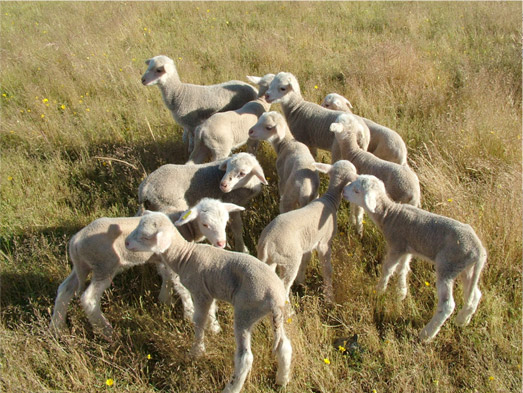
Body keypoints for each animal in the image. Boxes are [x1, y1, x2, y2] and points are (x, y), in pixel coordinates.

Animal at [50, 198, 245, 338]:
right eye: (205, 224)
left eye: (226, 221)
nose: (221, 243)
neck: (185, 227)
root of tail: (75, 241)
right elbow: (179, 284)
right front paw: (189, 313)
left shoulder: (162, 258)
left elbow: (166, 278)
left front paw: (165, 299)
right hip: (103, 265)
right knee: (88, 298)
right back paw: (107, 332)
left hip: (82, 266)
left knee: (64, 289)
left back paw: (57, 329)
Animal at [125, 211, 292, 392]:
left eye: (145, 236)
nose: (126, 243)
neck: (185, 256)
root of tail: (275, 298)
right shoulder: (210, 292)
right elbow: (211, 311)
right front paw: (214, 328)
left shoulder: (200, 292)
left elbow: (199, 321)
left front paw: (196, 351)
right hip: (271, 314)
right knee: (284, 346)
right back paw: (282, 380)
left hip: (246, 310)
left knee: (245, 357)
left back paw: (231, 388)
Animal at [137, 152, 268, 253]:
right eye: (227, 168)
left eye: (242, 173)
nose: (222, 185)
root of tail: (145, 187)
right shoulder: (232, 200)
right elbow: (237, 227)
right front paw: (242, 249)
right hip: (169, 203)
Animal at [258, 159, 360, 304]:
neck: (329, 200)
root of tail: (266, 243)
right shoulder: (324, 243)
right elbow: (327, 269)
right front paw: (330, 298)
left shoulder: (309, 242)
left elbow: (307, 258)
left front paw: (301, 281)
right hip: (290, 258)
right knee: (284, 285)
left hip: (271, 260)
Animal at [344, 174, 488, 340]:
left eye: (356, 190)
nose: (343, 191)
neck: (390, 214)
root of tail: (479, 251)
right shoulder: (407, 249)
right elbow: (403, 268)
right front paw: (401, 292)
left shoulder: (397, 245)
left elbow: (388, 269)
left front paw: (379, 290)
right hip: (466, 269)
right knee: (475, 294)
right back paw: (462, 320)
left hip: (448, 266)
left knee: (447, 305)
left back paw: (426, 334)